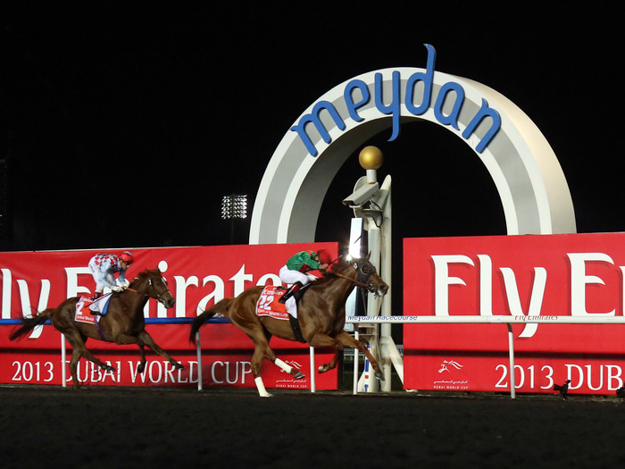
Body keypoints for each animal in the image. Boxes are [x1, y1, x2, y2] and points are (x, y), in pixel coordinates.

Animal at [8, 266, 184, 388]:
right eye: (157, 282)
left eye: (165, 281)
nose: (171, 301)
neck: (127, 305)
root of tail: (55, 310)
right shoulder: (119, 337)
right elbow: (140, 343)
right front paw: (140, 366)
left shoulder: (140, 331)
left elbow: (156, 346)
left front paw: (176, 364)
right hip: (70, 331)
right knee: (84, 351)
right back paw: (106, 366)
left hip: (79, 335)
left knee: (74, 361)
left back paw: (78, 388)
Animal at [188, 256, 388, 394]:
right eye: (365, 268)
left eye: (374, 267)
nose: (384, 287)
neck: (328, 298)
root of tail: (236, 299)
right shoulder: (313, 337)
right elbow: (338, 346)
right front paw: (323, 367)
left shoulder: (337, 332)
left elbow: (360, 344)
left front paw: (379, 372)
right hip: (252, 326)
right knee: (269, 353)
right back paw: (294, 371)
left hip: (262, 332)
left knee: (256, 363)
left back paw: (265, 394)